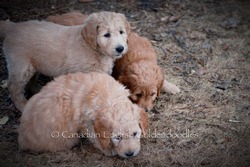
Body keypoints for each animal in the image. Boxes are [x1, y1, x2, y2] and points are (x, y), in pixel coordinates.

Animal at [0, 11, 131, 112]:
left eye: (121, 32)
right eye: (106, 35)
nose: (120, 48)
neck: (90, 47)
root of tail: (13, 27)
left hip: (32, 63)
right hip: (21, 66)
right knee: (13, 87)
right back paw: (22, 106)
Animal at [19, 72, 148, 158]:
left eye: (135, 133)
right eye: (118, 137)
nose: (130, 153)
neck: (110, 98)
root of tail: (22, 139)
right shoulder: (86, 123)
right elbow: (97, 138)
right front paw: (108, 150)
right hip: (65, 140)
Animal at [46, 11, 181, 111]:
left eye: (152, 94)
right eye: (138, 95)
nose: (146, 110)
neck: (140, 58)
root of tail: (54, 17)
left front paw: (171, 87)